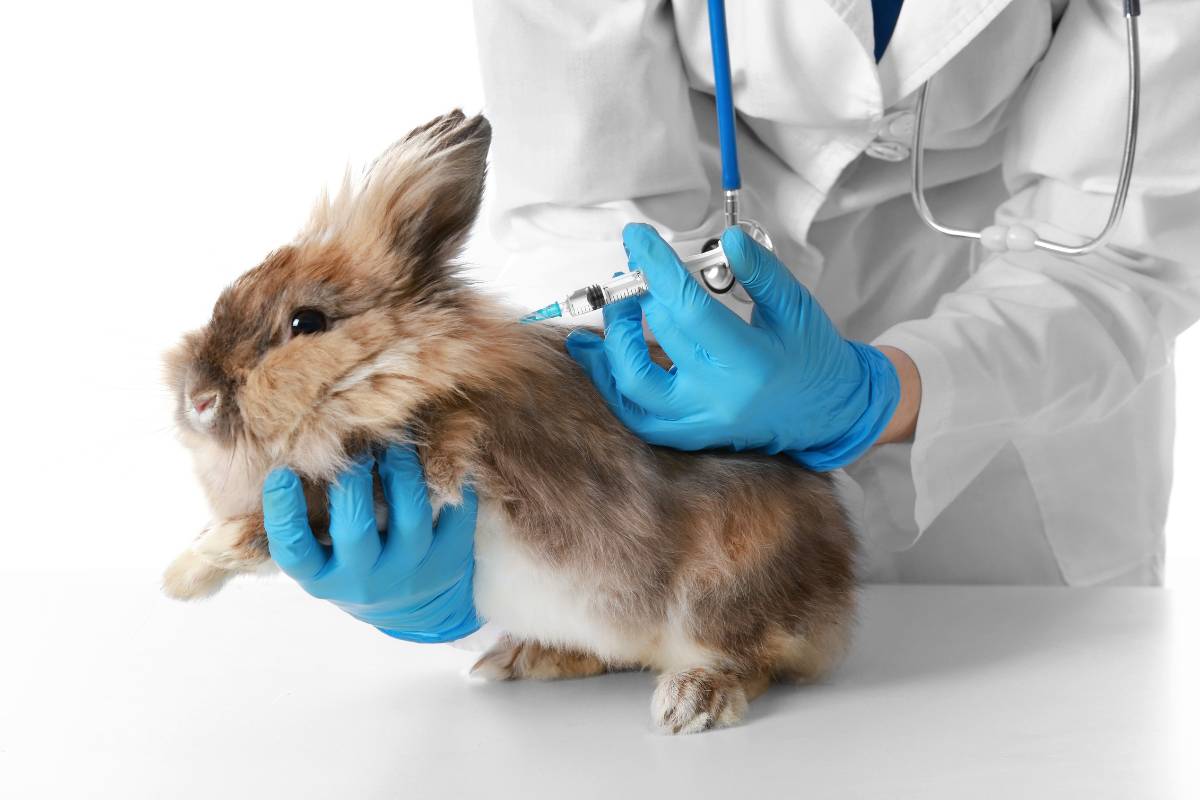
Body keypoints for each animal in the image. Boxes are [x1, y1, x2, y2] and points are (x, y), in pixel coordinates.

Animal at [162, 110, 857, 735]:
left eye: (306, 322)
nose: (198, 397)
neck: (386, 379)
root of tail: (837, 595)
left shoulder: (401, 491)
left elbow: (271, 530)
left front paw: (185, 575)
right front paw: (186, 571)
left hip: (718, 594)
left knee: (750, 659)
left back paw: (691, 700)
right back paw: (520, 658)